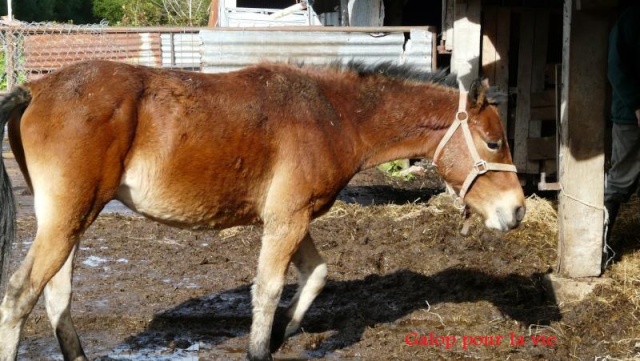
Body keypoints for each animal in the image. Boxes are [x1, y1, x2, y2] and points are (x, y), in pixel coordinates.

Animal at [0, 60, 524, 358]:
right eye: (493, 142)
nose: (517, 211)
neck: (333, 116)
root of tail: (36, 89)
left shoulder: (295, 218)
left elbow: (315, 274)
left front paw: (281, 335)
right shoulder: (286, 221)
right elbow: (268, 290)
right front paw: (262, 348)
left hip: (70, 222)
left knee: (56, 297)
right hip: (67, 220)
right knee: (20, 294)